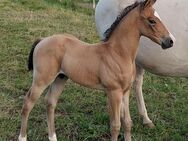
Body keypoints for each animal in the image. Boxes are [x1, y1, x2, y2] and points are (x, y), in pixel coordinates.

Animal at [18, 0, 173, 140]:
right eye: (152, 20)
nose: (170, 41)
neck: (118, 53)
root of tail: (43, 40)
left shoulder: (125, 91)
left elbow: (128, 123)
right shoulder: (114, 92)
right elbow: (115, 126)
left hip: (60, 78)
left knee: (50, 103)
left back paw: (53, 137)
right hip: (41, 80)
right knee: (28, 103)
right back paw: (22, 137)